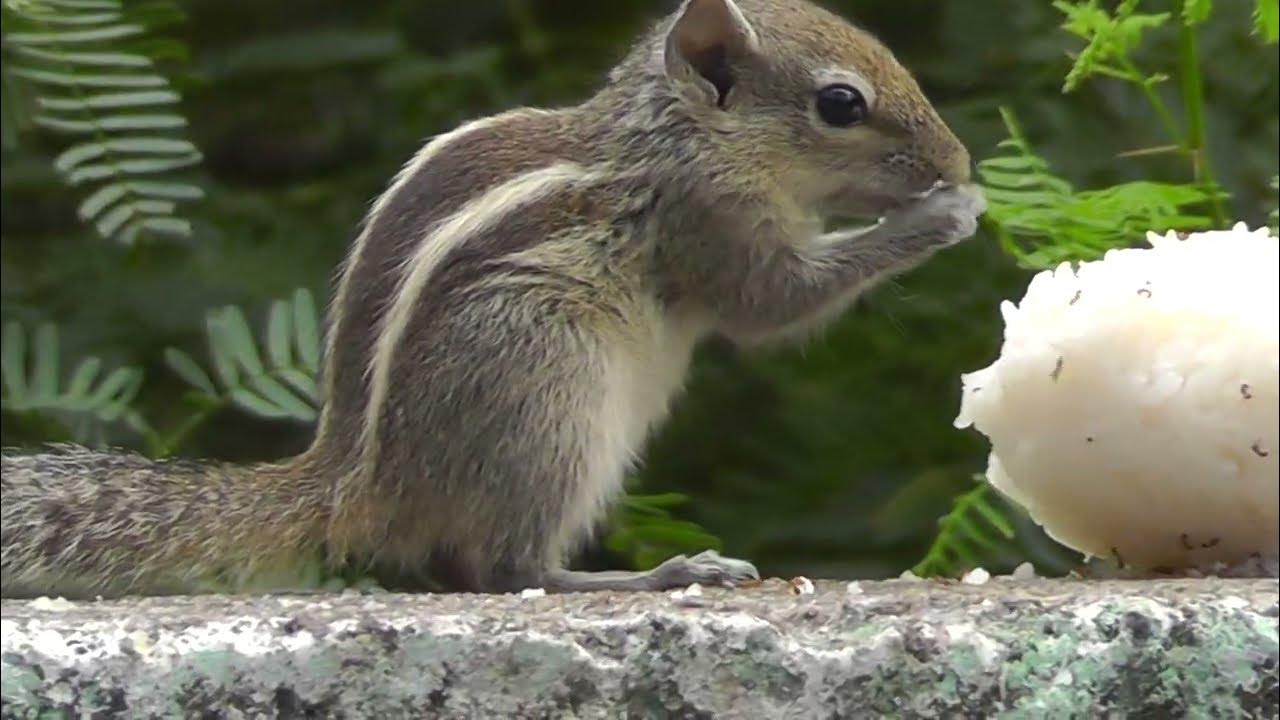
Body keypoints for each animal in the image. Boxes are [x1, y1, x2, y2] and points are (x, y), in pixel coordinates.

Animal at [0, 0, 983, 599]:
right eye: (841, 104)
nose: (960, 160)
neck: (676, 132)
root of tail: (356, 484)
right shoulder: (710, 219)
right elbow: (773, 305)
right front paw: (945, 216)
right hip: (547, 390)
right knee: (512, 568)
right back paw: (665, 574)